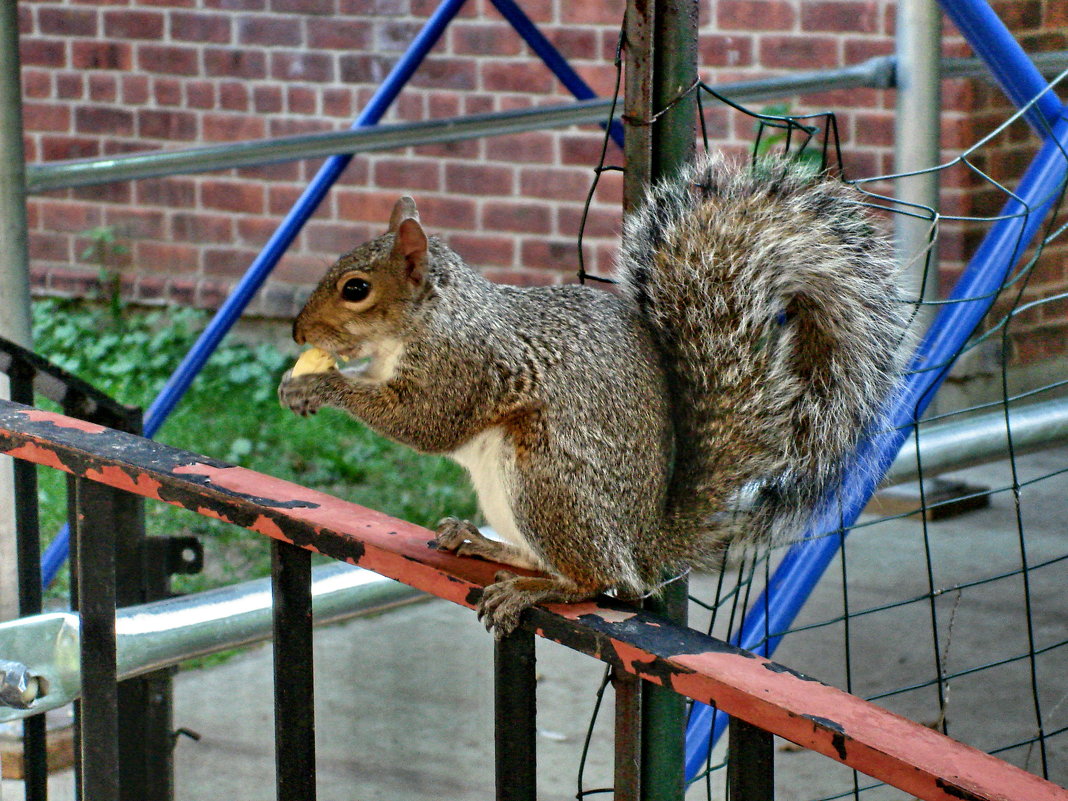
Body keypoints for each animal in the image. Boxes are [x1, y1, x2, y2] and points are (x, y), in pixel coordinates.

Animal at [277, 153, 909, 636]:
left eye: (355, 289)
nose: (298, 333)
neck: (430, 319)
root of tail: (646, 540)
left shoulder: (465, 364)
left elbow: (425, 422)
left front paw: (320, 384)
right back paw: (484, 545)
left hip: (549, 479)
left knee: (603, 581)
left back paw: (535, 589)